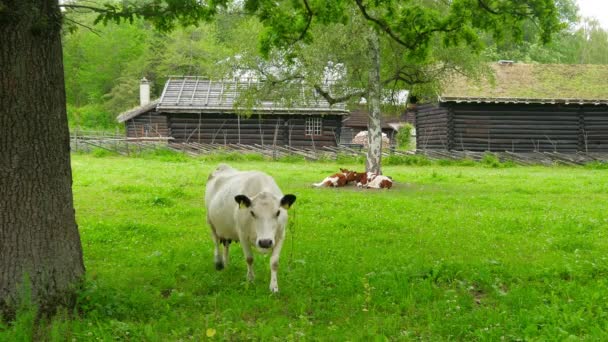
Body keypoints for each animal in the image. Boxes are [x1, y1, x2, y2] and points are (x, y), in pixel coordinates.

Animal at [205, 164, 296, 292]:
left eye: (278, 212)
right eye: (252, 213)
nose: (265, 242)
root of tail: (222, 166)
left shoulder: (280, 235)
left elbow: (274, 262)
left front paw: (274, 286)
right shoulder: (242, 235)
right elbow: (249, 258)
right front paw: (250, 279)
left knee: (226, 245)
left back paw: (226, 264)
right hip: (210, 222)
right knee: (216, 242)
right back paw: (219, 263)